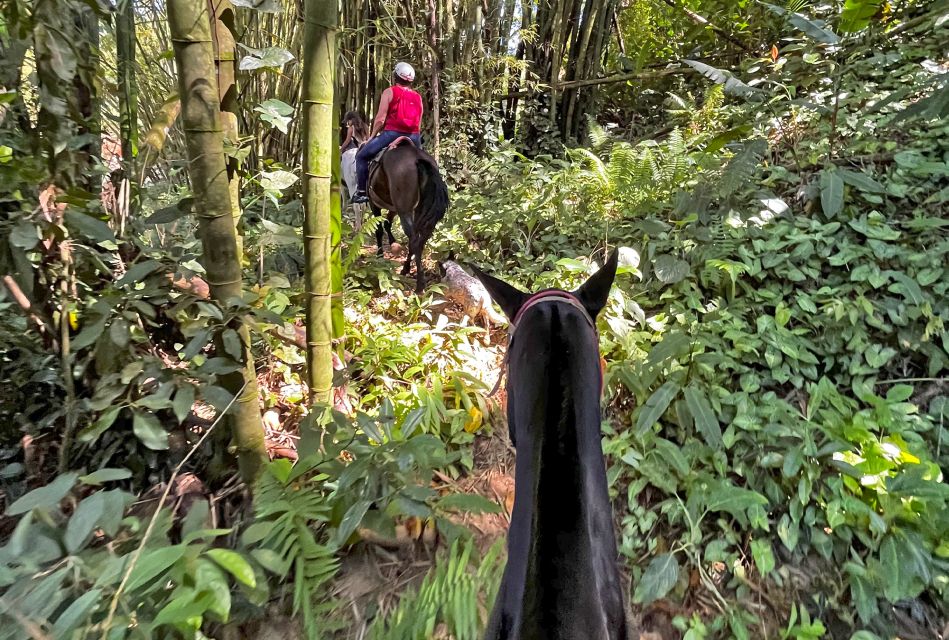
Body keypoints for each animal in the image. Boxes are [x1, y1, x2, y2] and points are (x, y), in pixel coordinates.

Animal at [366, 140, 448, 292]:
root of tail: (417, 158)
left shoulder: (374, 203)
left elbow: (379, 229)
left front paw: (380, 256)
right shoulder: (394, 207)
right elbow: (387, 223)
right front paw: (393, 243)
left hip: (404, 210)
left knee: (414, 239)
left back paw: (420, 284)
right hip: (417, 210)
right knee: (420, 240)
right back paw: (406, 269)